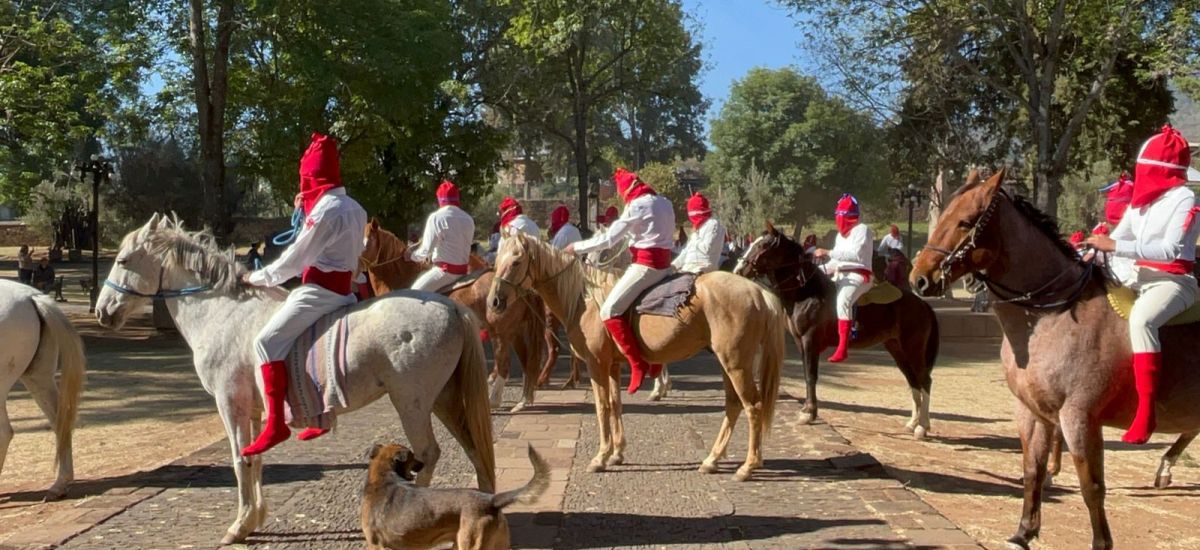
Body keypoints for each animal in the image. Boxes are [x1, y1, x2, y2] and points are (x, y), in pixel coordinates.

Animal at [95, 214, 497, 544]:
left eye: (122, 260)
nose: (102, 312)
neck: (224, 311)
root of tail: (450, 305)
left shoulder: (230, 404)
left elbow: (239, 459)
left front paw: (238, 526)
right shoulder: (254, 410)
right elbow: (256, 458)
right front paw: (254, 518)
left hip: (412, 403)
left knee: (429, 453)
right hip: (443, 399)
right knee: (473, 445)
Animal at [361, 220, 546, 413]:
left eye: (367, 242)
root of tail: (521, 287)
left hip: (500, 334)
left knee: (504, 364)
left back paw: (494, 401)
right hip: (515, 333)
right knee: (526, 363)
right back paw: (523, 401)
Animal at [487, 233, 787, 480]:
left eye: (516, 261)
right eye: (497, 260)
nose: (494, 302)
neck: (584, 299)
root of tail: (757, 292)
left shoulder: (597, 365)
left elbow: (602, 407)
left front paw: (600, 457)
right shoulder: (613, 366)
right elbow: (615, 404)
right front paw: (617, 453)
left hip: (736, 365)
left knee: (753, 406)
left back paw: (748, 466)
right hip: (728, 364)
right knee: (733, 405)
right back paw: (712, 460)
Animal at [734, 225, 940, 439]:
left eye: (763, 245)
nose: (739, 270)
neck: (806, 292)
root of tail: (922, 304)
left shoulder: (810, 341)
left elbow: (811, 376)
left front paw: (809, 413)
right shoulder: (801, 342)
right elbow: (808, 374)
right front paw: (808, 411)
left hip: (913, 349)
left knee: (924, 380)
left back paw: (922, 426)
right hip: (897, 349)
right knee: (913, 381)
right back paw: (912, 423)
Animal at [910, 168, 1200, 550]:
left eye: (966, 222)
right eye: (942, 214)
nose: (919, 278)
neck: (1053, 313)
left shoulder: (1079, 417)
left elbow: (1091, 487)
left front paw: (1100, 543)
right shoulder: (1032, 412)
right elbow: (1032, 470)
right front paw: (1024, 531)